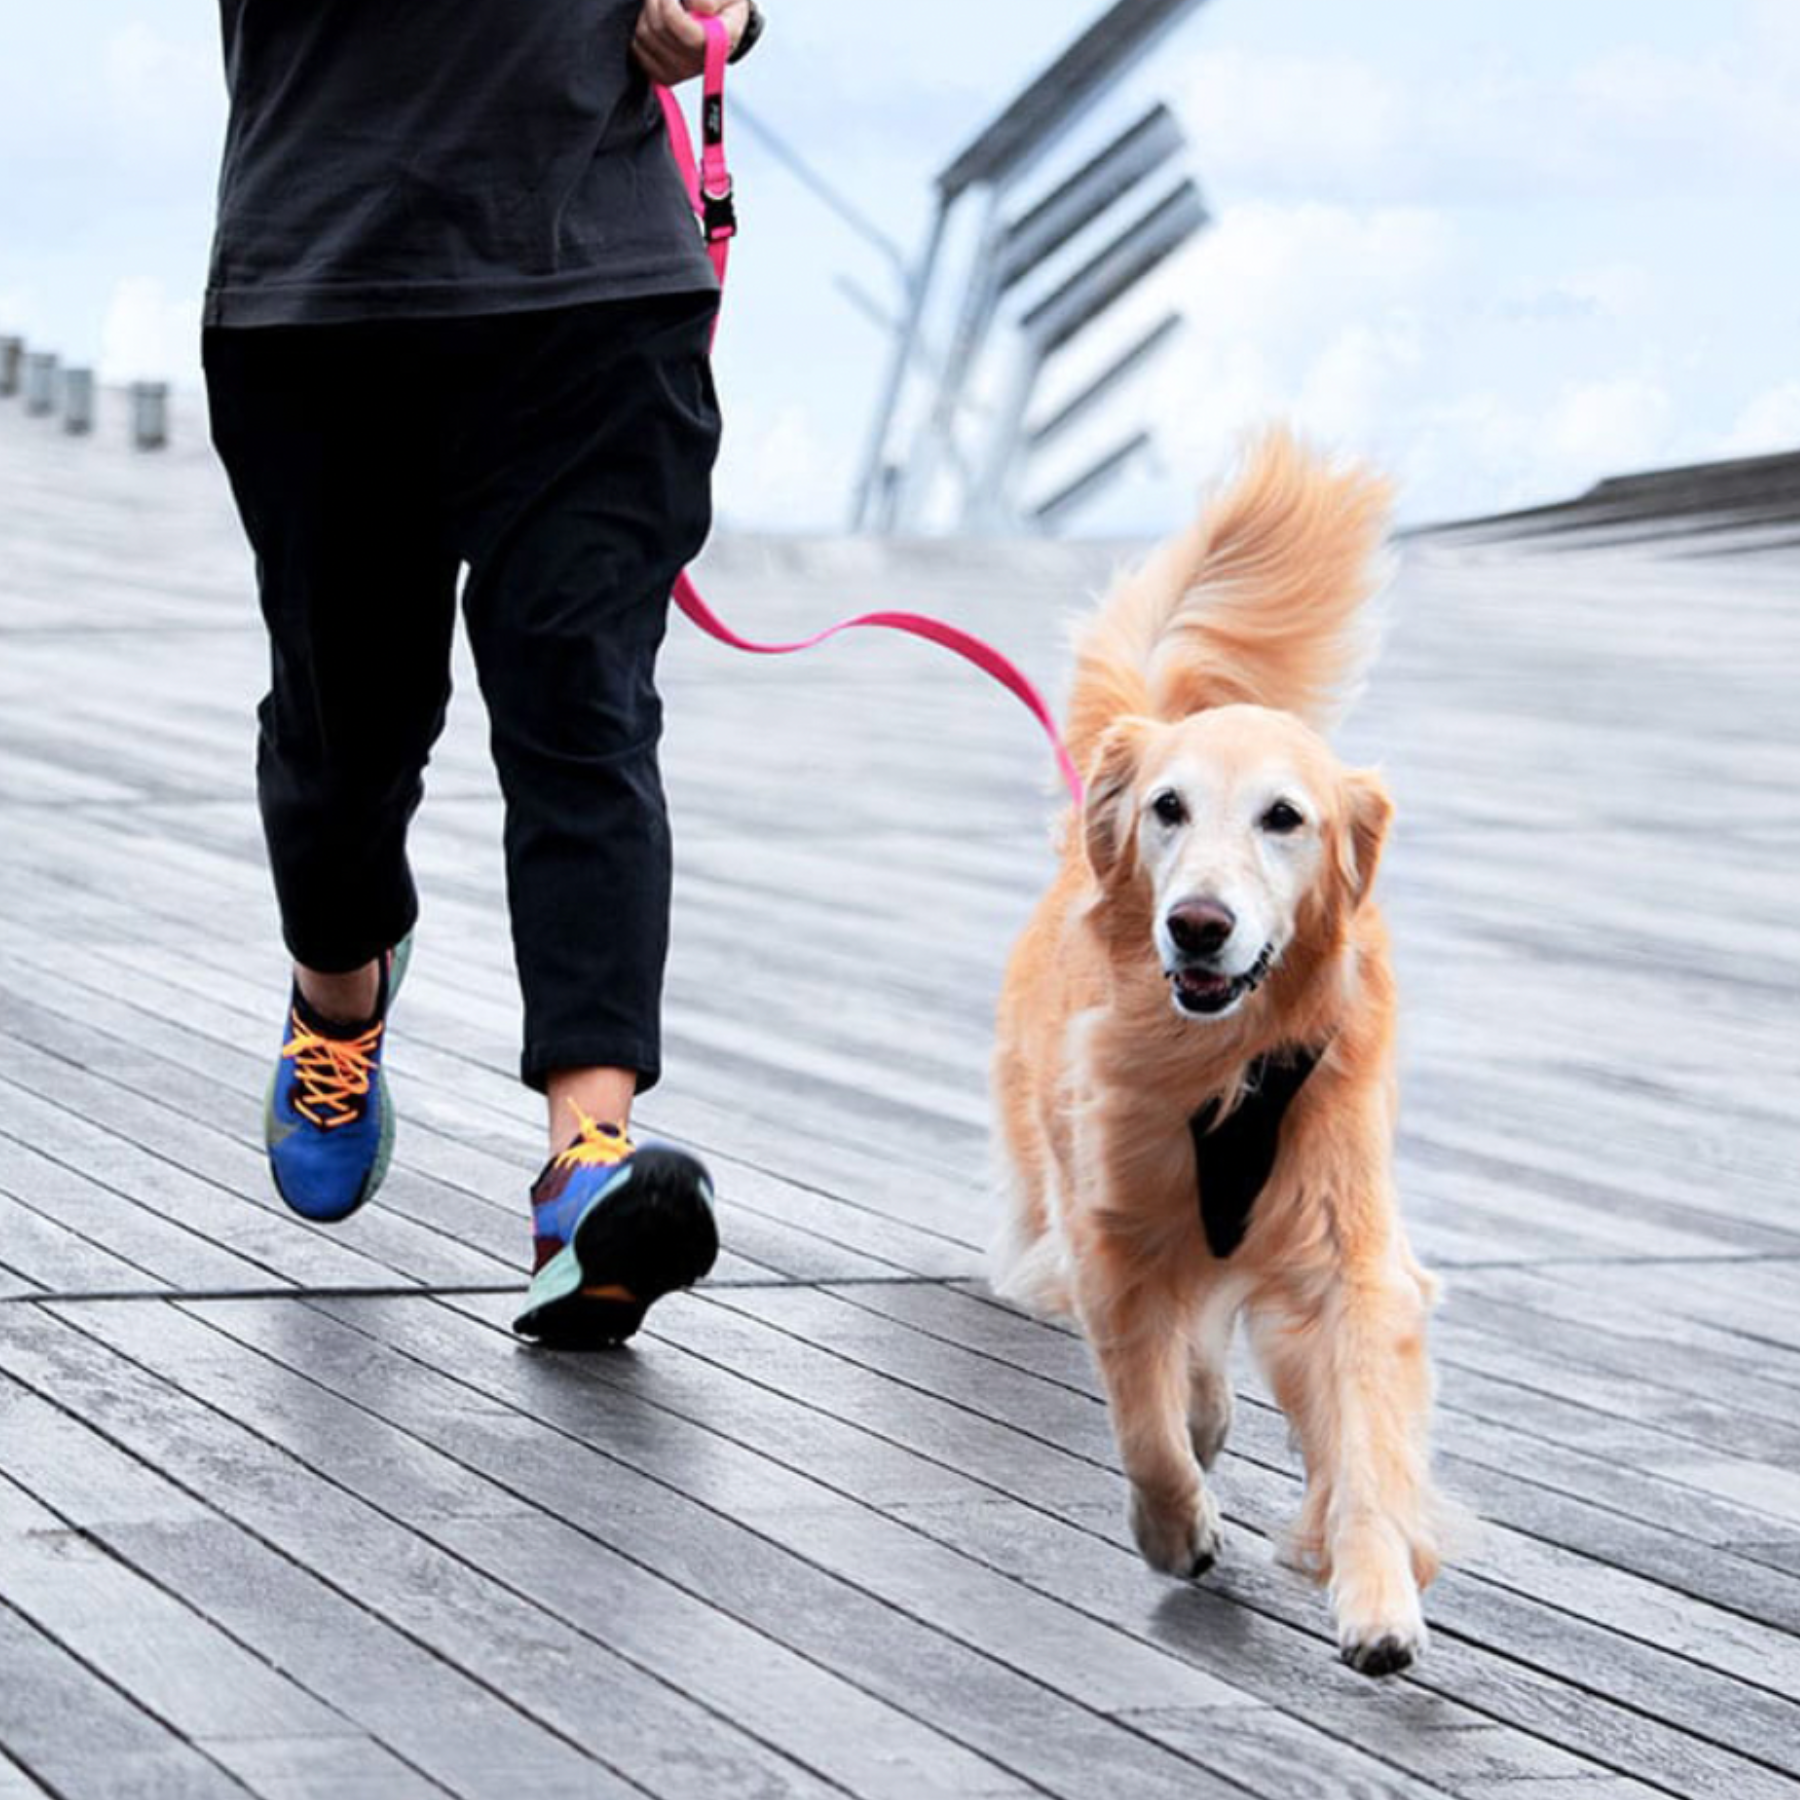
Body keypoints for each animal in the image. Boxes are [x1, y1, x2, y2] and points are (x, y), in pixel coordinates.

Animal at [993, 432, 1440, 1670]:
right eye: (1169, 809)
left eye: (1284, 818)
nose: (1197, 925)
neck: (1229, 1063)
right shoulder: (1113, 1228)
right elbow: (1143, 1418)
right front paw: (1174, 1528)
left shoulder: (1347, 1254)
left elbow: (1366, 1446)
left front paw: (1378, 1601)